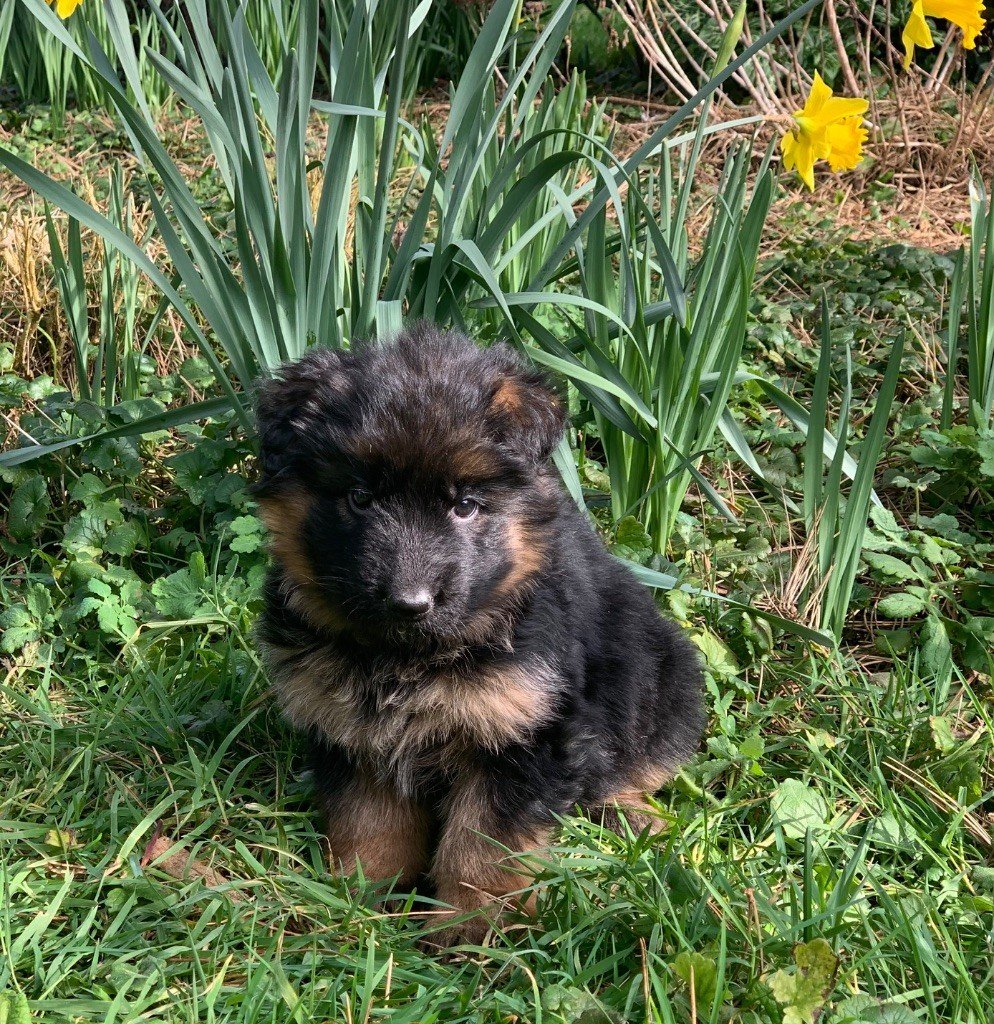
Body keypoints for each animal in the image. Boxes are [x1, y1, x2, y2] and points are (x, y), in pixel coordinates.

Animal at [256, 325, 708, 942]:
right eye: (359, 498)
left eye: (466, 506)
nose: (409, 603)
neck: (410, 659)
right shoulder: (352, 729)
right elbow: (368, 820)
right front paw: (362, 901)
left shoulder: (523, 730)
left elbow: (484, 843)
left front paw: (474, 929)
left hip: (663, 684)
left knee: (633, 769)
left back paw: (641, 831)